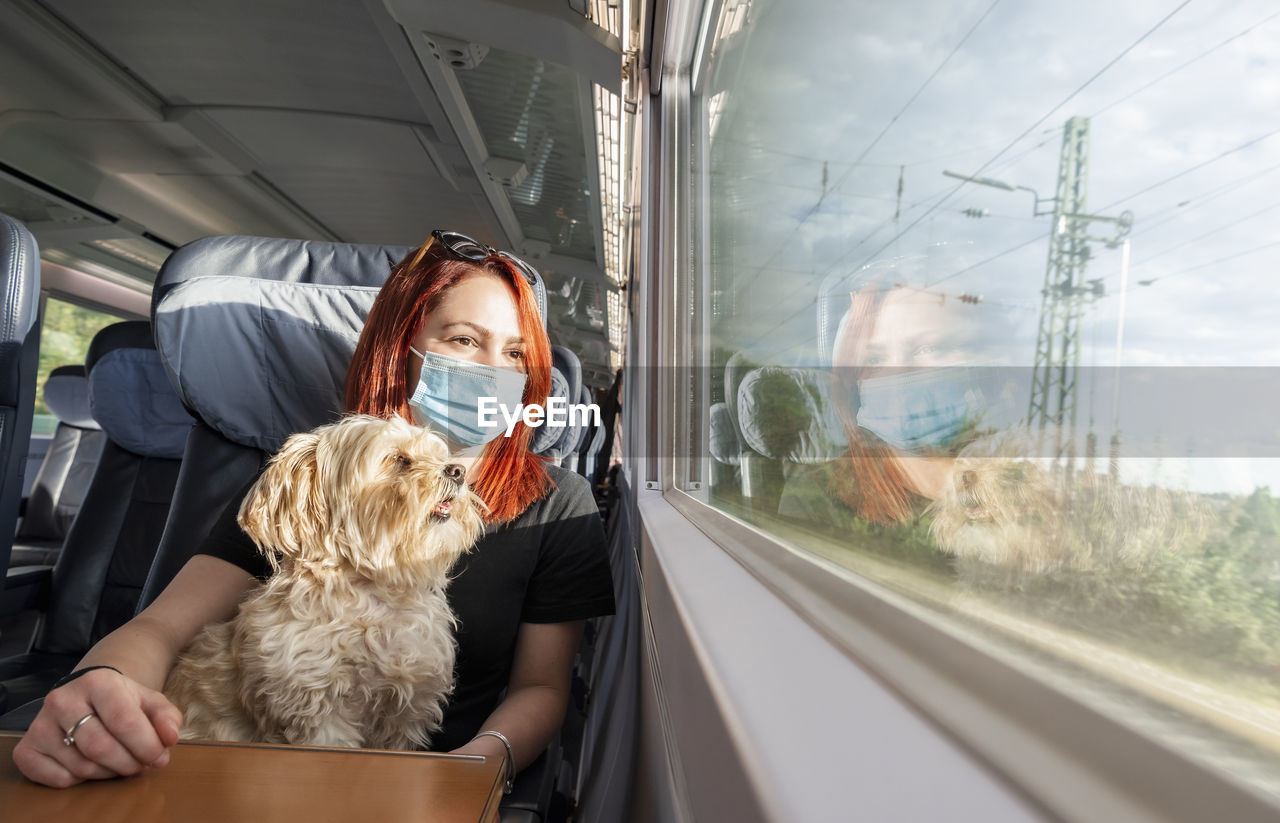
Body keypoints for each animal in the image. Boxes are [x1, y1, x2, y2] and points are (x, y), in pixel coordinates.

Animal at [160, 414, 481, 752]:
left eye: (441, 457)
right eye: (399, 460)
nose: (458, 471)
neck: (377, 598)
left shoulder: (405, 713)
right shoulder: (319, 711)